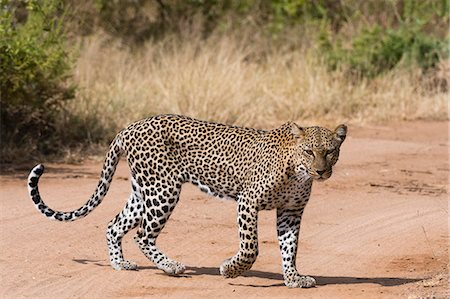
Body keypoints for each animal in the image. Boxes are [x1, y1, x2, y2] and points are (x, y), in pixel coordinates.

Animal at [27, 114, 348, 288]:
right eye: (309, 151)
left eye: (330, 152)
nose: (321, 171)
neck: (298, 172)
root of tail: (130, 126)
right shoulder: (248, 201)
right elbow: (251, 248)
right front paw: (229, 269)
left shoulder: (291, 212)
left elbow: (289, 248)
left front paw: (294, 279)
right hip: (163, 190)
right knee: (142, 234)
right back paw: (172, 267)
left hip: (143, 190)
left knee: (113, 224)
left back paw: (121, 264)